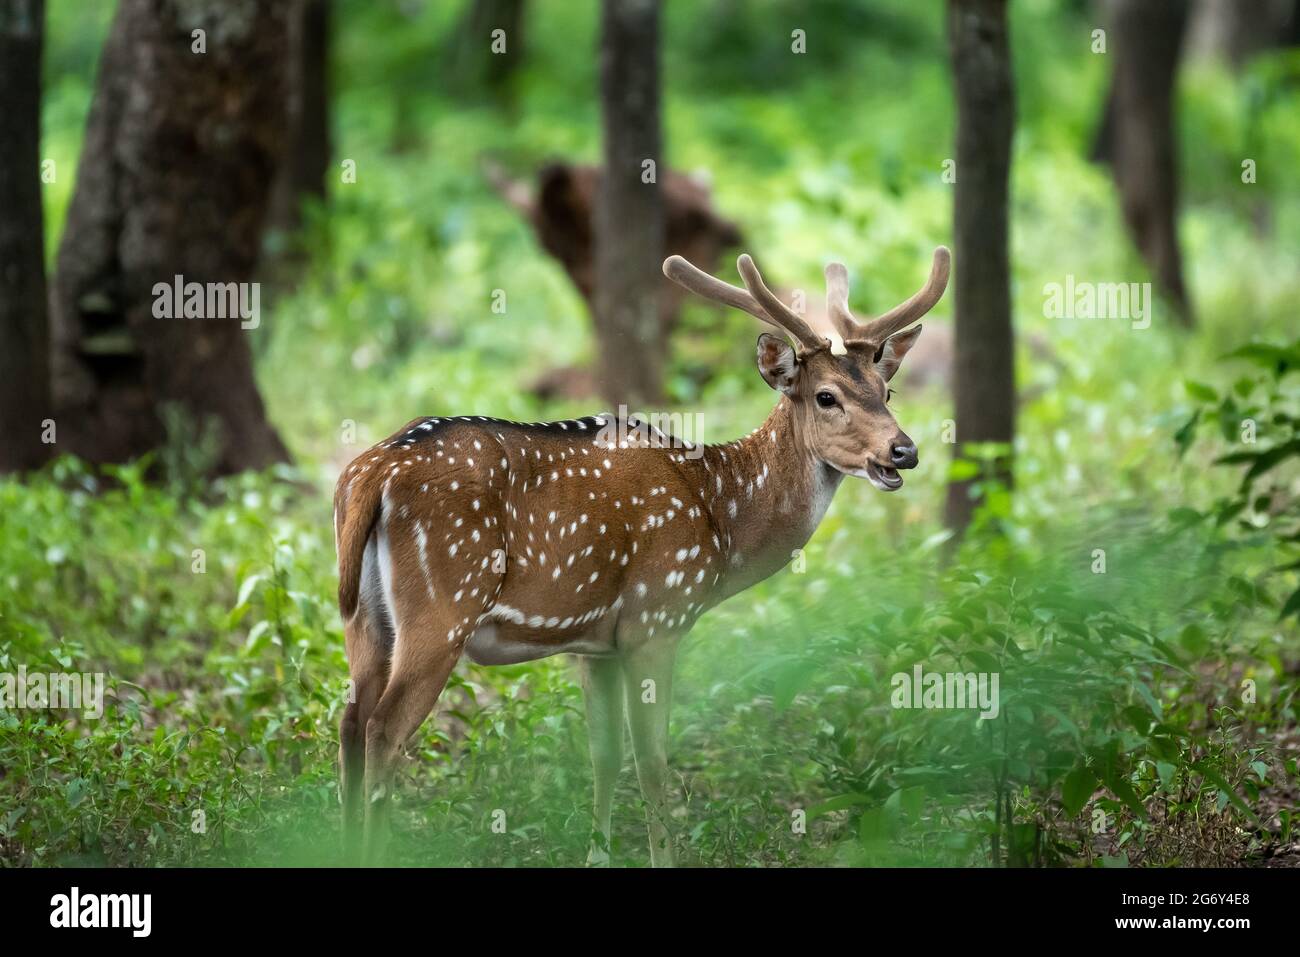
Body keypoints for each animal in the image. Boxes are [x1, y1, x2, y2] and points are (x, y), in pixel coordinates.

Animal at [330, 243, 951, 863]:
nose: (904, 451)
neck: (720, 516)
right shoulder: (656, 617)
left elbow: (604, 755)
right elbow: (652, 758)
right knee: (383, 732)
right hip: (443, 604)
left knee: (349, 724)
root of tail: (372, 475)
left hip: (364, 618)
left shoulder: (596, 644)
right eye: (827, 397)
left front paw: (597, 855)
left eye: (887, 392)